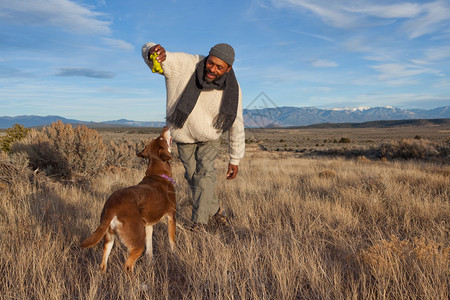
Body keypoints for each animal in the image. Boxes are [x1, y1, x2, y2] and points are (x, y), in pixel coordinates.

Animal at [80, 126, 175, 272]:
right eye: (161, 138)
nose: (165, 126)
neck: (158, 174)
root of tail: (112, 207)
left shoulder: (149, 226)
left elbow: (150, 250)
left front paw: (151, 264)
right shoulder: (171, 216)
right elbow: (172, 242)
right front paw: (175, 257)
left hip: (109, 238)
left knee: (103, 263)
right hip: (137, 241)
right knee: (127, 265)